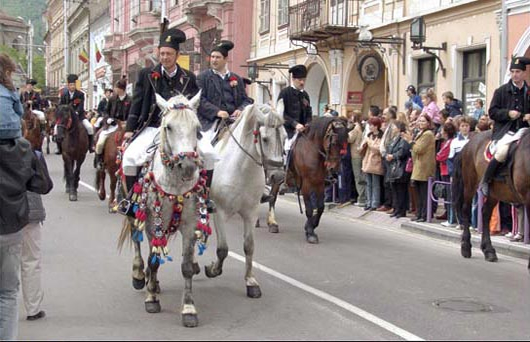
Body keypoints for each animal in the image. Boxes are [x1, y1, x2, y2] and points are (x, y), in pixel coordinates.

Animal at [117, 92, 206, 328]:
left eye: (197, 128)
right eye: (169, 127)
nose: (188, 166)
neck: (174, 184)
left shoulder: (189, 224)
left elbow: (186, 266)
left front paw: (189, 308)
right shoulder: (151, 223)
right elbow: (154, 259)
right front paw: (151, 299)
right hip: (134, 213)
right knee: (137, 240)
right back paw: (140, 275)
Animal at [204, 101, 284, 296]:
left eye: (286, 137)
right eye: (265, 139)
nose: (278, 176)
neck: (241, 169)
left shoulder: (251, 213)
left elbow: (249, 246)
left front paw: (251, 282)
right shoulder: (219, 212)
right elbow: (223, 249)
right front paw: (213, 269)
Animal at [450, 130, 528, 272]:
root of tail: (468, 144)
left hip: (495, 192)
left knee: (485, 213)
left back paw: (489, 250)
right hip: (470, 184)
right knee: (466, 210)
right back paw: (466, 247)